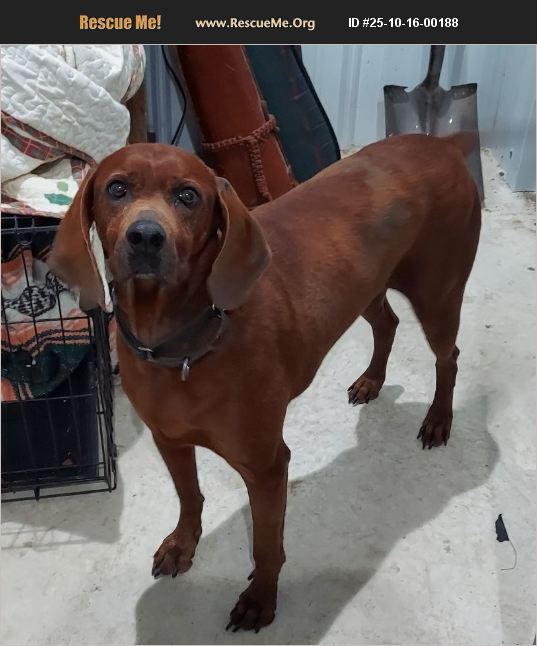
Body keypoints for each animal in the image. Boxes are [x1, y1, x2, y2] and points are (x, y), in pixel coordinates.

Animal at [49, 133, 481, 632]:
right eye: (116, 189)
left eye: (188, 196)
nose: (146, 237)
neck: (183, 347)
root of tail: (440, 143)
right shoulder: (169, 440)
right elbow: (190, 496)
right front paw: (182, 544)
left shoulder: (267, 468)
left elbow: (266, 544)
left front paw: (261, 598)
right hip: (367, 287)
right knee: (387, 323)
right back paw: (372, 380)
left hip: (438, 296)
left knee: (448, 358)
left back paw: (438, 420)